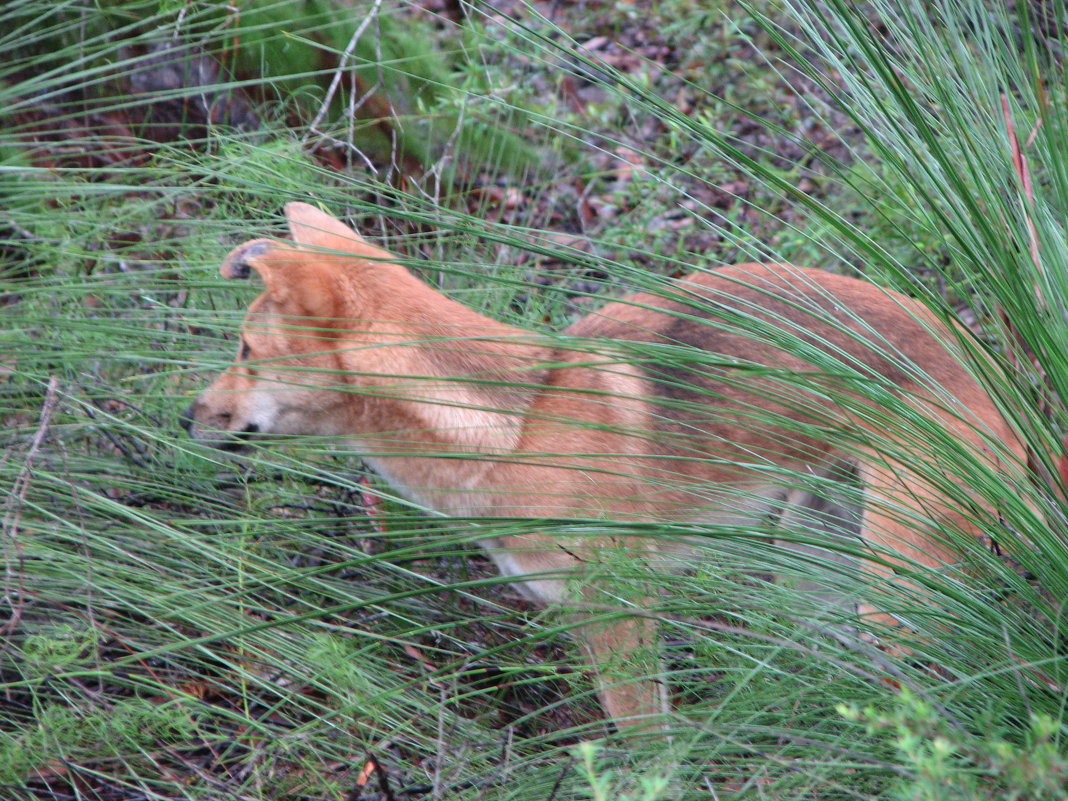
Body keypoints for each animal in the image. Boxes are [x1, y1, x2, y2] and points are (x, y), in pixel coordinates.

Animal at [183, 201, 1025, 734]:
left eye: (246, 351)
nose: (188, 416)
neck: (513, 424)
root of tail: (998, 373)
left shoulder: (620, 612)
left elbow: (648, 749)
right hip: (810, 563)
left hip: (894, 593)